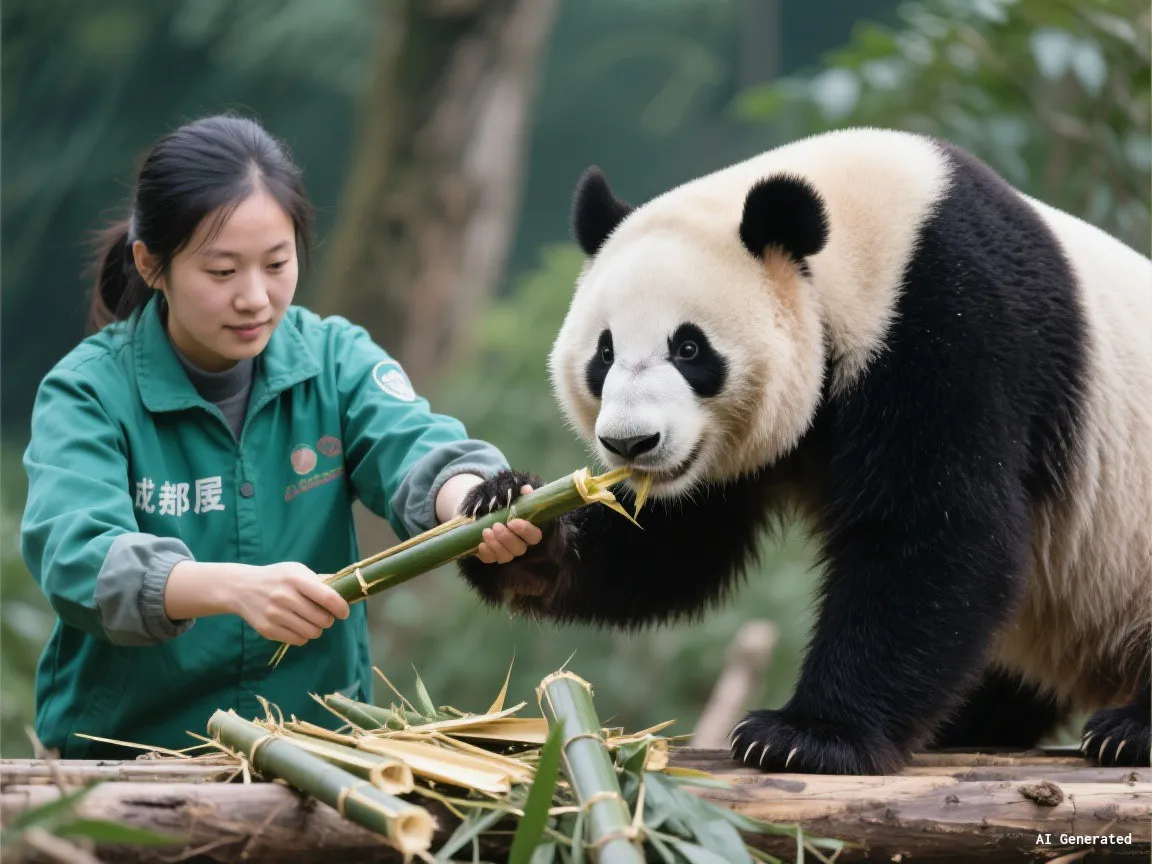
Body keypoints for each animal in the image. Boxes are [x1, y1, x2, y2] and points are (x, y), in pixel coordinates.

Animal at [457, 127, 1152, 774]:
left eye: (689, 348)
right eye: (603, 353)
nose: (631, 441)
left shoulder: (955, 321)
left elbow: (938, 528)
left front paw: (804, 737)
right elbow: (678, 549)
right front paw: (513, 525)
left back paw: (1126, 731)